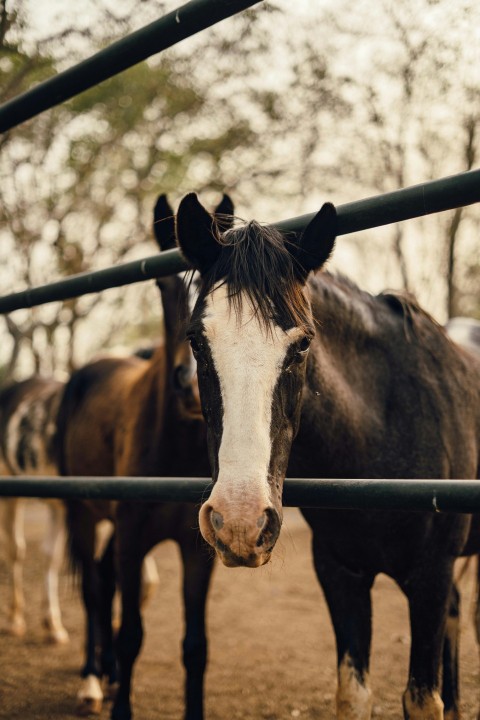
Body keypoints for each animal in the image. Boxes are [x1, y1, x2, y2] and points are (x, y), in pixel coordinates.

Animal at [56, 193, 234, 720]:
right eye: (160, 283)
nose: (189, 383)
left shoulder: (198, 553)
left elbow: (195, 645)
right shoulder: (134, 539)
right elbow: (132, 631)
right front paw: (120, 705)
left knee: (103, 576)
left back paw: (108, 672)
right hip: (82, 513)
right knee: (94, 587)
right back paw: (93, 679)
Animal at [174, 192, 480, 720]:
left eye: (301, 345)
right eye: (197, 340)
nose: (239, 523)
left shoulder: (431, 577)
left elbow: (422, 699)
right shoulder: (341, 575)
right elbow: (352, 695)